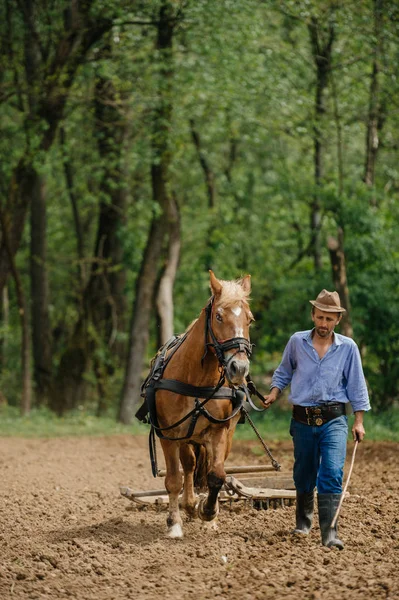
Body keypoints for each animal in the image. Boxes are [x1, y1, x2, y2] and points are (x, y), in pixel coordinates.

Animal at [145, 270, 255, 536]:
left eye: (250, 319)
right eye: (218, 316)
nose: (239, 368)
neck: (196, 378)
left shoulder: (219, 430)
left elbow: (217, 475)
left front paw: (209, 512)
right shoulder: (168, 434)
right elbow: (174, 479)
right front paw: (175, 523)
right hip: (185, 437)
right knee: (189, 465)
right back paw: (188, 504)